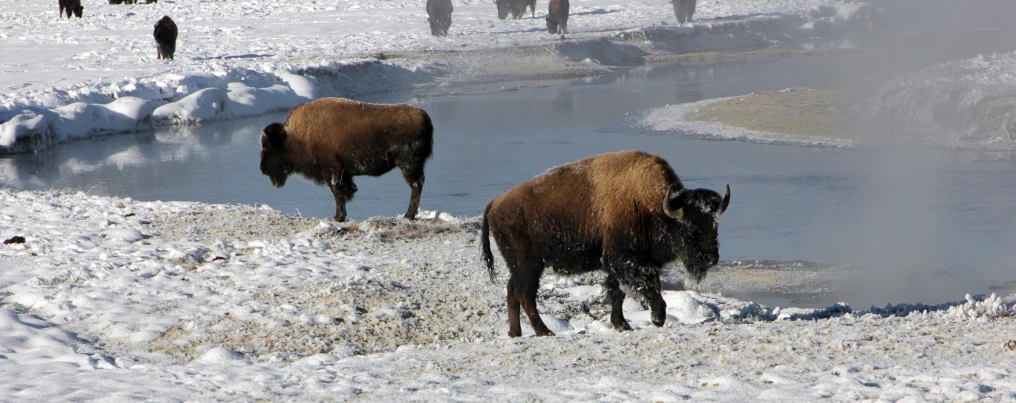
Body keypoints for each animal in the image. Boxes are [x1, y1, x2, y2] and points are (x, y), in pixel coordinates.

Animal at [258, 97, 432, 223]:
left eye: (266, 147)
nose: (262, 169)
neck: (295, 136)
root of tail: (423, 116)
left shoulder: (332, 170)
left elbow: (337, 192)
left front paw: (337, 217)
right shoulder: (341, 173)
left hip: (408, 164)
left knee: (415, 185)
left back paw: (408, 215)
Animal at [481, 150, 731, 337]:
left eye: (715, 223)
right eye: (689, 224)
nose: (711, 258)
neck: (653, 207)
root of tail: (495, 203)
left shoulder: (618, 264)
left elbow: (617, 292)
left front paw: (622, 324)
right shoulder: (626, 260)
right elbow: (649, 286)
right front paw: (657, 318)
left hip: (521, 266)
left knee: (513, 290)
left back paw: (516, 333)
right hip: (528, 264)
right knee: (525, 295)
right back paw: (544, 331)